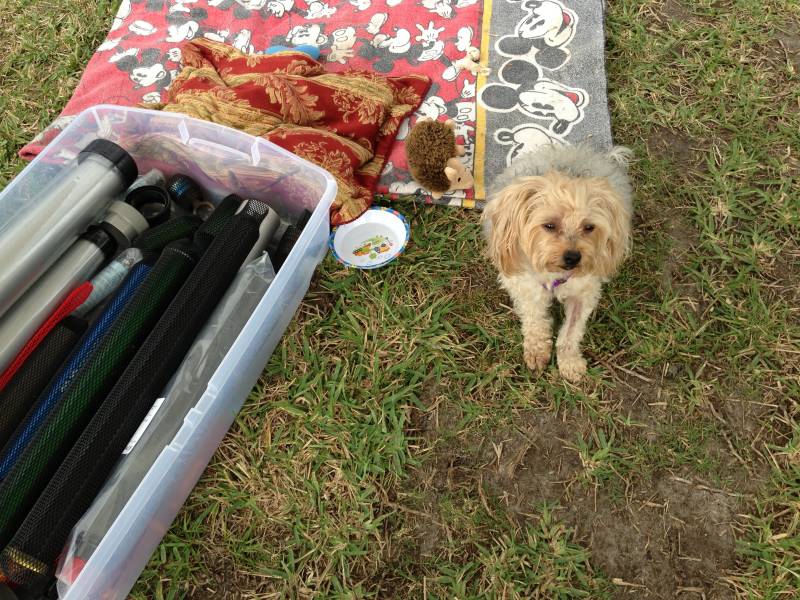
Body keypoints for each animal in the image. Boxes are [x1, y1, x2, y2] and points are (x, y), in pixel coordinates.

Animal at [482, 144, 633, 381]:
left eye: (589, 227)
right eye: (549, 225)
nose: (573, 257)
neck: (556, 274)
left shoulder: (584, 293)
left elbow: (571, 330)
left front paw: (569, 361)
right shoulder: (526, 287)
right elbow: (535, 319)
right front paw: (537, 350)